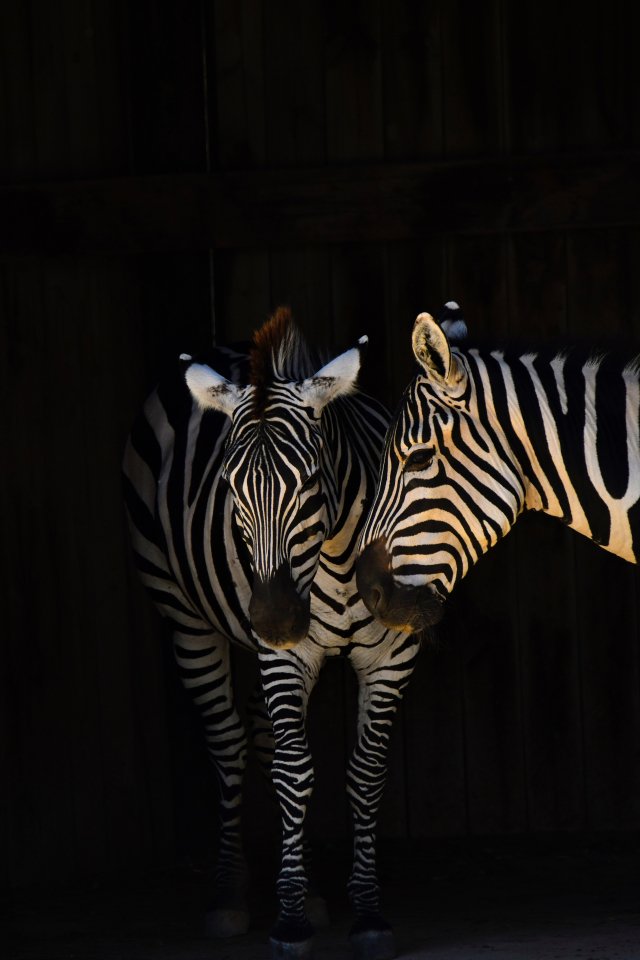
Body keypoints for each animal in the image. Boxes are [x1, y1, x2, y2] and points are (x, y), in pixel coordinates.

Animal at [123, 308, 419, 960]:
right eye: (230, 487)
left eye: (311, 479)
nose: (276, 619)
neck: (336, 557)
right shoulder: (284, 657)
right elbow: (294, 774)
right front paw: (288, 921)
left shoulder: (391, 653)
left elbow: (363, 775)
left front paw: (367, 911)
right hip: (185, 620)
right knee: (232, 744)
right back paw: (229, 893)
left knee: (262, 741)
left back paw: (308, 889)